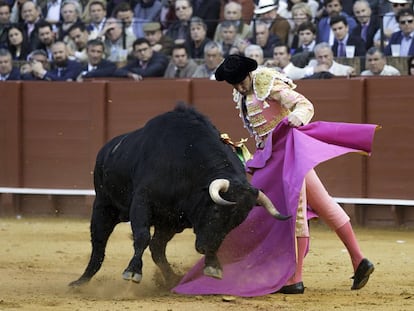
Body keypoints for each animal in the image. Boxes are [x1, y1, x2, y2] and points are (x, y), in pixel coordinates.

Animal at [68, 104, 288, 288]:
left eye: (236, 222)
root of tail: (106, 150)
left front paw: (212, 266)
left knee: (156, 247)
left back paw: (172, 279)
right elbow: (141, 236)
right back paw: (80, 282)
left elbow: (156, 245)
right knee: (99, 244)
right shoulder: (142, 201)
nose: (205, 248)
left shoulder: (173, 220)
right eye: (216, 211)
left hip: (163, 221)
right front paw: (132, 272)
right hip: (103, 206)